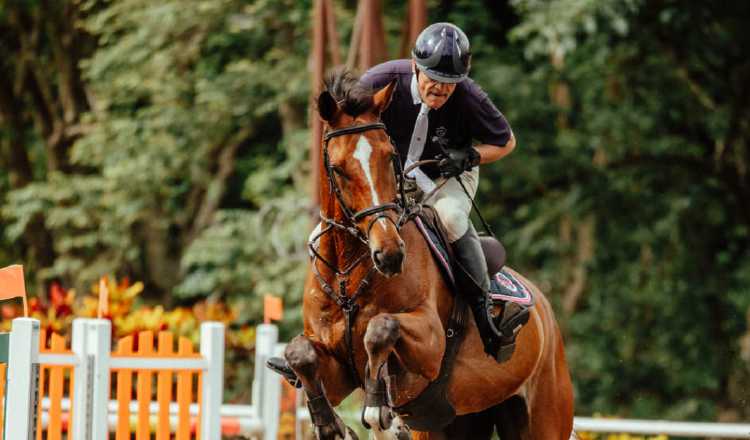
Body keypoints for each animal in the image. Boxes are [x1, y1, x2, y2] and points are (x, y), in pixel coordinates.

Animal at [284, 70, 576, 438]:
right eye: (337, 169)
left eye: (388, 157)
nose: (390, 255)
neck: (348, 273)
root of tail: (546, 313)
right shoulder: (335, 370)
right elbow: (299, 352)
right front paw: (329, 423)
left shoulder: (431, 346)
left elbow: (380, 329)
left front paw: (378, 406)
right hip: (463, 419)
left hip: (545, 414)